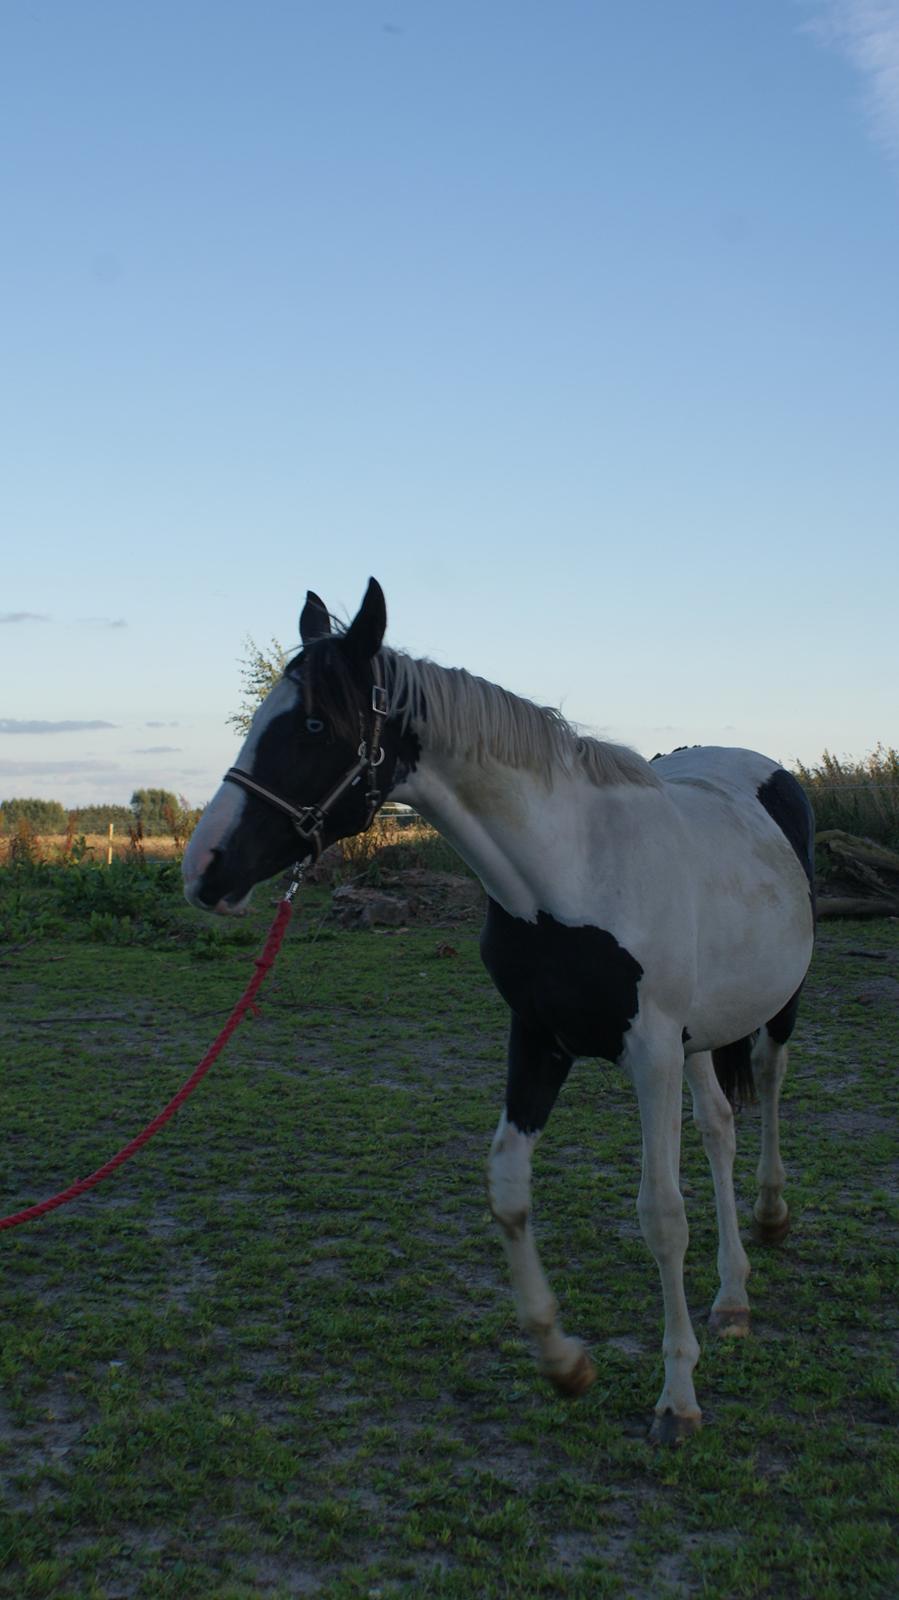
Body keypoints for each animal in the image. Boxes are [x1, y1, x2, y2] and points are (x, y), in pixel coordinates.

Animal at [182, 582, 812, 1446]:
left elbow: (660, 1215)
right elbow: (507, 1189)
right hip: (698, 1031)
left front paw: (676, 1399)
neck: (572, 870)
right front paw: (562, 1359)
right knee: (718, 1125)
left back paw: (772, 1217)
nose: (205, 867)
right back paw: (732, 1298)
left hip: (771, 1009)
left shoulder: (648, 1052)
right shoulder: (538, 1040)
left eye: (314, 725)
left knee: (769, 1085)